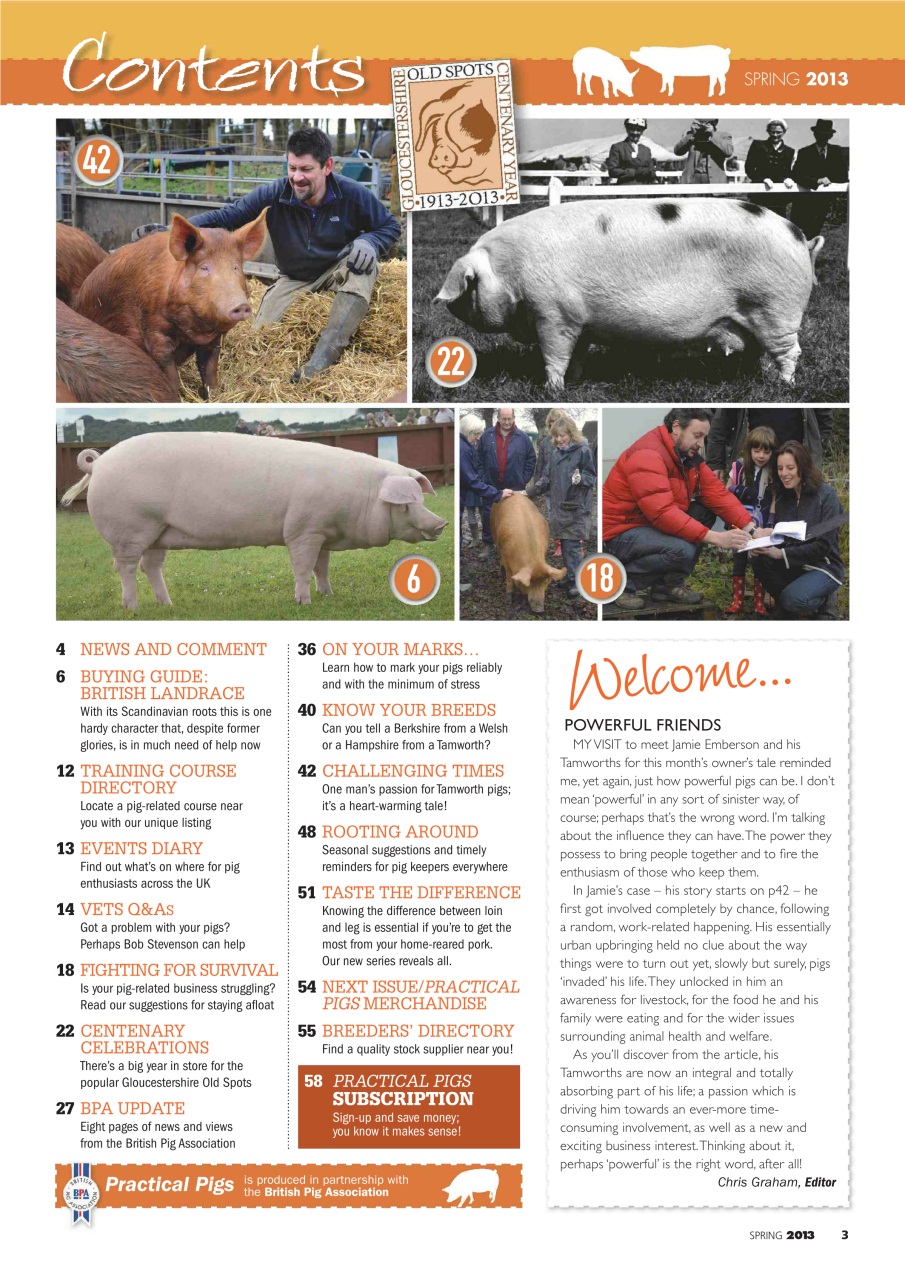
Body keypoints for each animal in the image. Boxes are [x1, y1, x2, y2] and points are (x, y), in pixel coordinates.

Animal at [59, 432, 447, 611]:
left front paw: (328, 595)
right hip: (132, 528)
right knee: (125, 567)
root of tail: (99, 463)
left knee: (149, 566)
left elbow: (321, 567)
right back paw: (133, 607)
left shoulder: (321, 530)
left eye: (420, 498)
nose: (441, 523)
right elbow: (302, 567)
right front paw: (304, 603)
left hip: (159, 532)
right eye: (407, 504)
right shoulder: (302, 529)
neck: (361, 494)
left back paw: (167, 605)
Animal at [74, 210, 268, 399]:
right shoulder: (153, 329)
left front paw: (212, 395)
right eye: (204, 268)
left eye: (236, 267)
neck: (195, 331)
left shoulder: (214, 340)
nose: (241, 305)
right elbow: (168, 369)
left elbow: (210, 369)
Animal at [436, 198, 823, 388]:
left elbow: (555, 354)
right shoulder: (581, 320)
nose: (448, 308)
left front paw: (552, 389)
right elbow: (578, 353)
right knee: (760, 351)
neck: (509, 272)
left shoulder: (553, 313)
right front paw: (576, 380)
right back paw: (755, 379)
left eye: (469, 284)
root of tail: (801, 238)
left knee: (790, 351)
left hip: (776, 308)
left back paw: (785, 386)